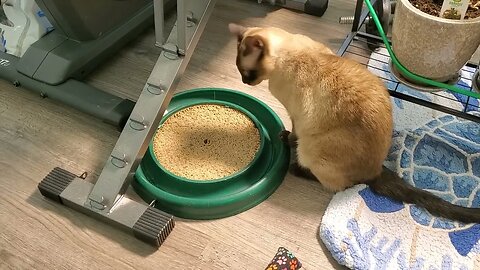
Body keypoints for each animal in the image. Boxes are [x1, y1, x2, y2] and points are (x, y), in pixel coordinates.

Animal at [228, 22, 480, 224]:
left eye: (246, 72)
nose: (244, 82)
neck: (290, 50)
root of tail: (376, 170)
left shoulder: (296, 116)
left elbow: (293, 134)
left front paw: (285, 138)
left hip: (311, 150)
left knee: (338, 184)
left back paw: (297, 169)